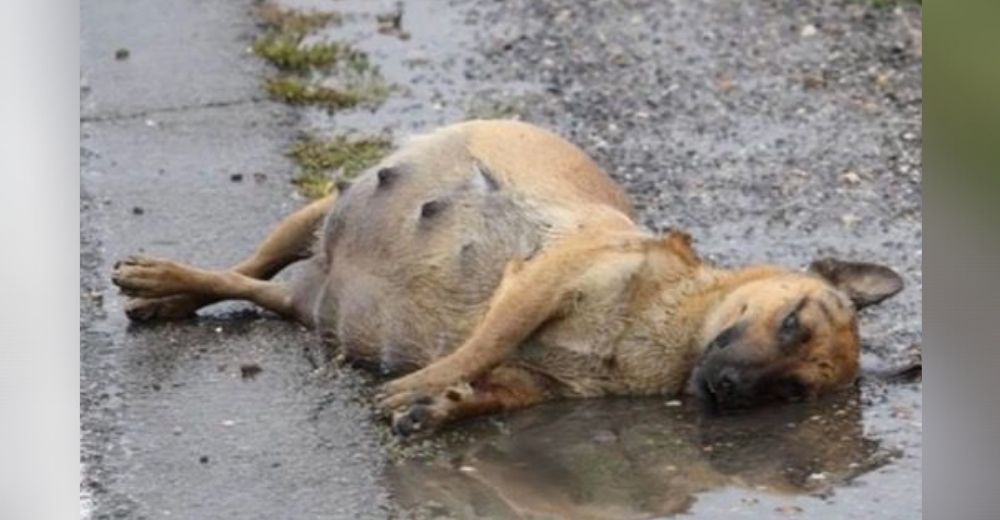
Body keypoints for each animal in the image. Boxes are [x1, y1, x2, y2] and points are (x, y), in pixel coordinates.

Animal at [111, 120, 908, 432]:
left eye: (793, 391)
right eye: (793, 320)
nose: (732, 388)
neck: (663, 335)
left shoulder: (538, 382)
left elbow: (492, 385)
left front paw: (442, 406)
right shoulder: (540, 282)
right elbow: (482, 343)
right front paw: (424, 384)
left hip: (304, 296)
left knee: (252, 288)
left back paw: (166, 295)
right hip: (315, 214)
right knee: (242, 267)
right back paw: (161, 281)